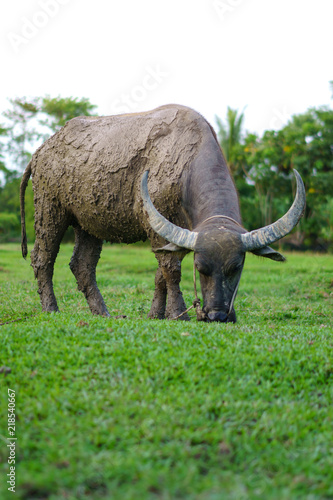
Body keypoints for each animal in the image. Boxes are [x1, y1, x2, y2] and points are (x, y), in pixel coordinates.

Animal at [20, 106, 304, 324]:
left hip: (88, 223)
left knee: (82, 265)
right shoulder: (158, 225)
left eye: (236, 267)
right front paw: (180, 314)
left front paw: (156, 314)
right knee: (42, 258)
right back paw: (51, 308)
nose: (217, 316)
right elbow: (171, 271)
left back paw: (103, 313)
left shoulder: (174, 234)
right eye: (200, 268)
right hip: (49, 208)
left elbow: (161, 274)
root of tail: (42, 150)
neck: (185, 167)